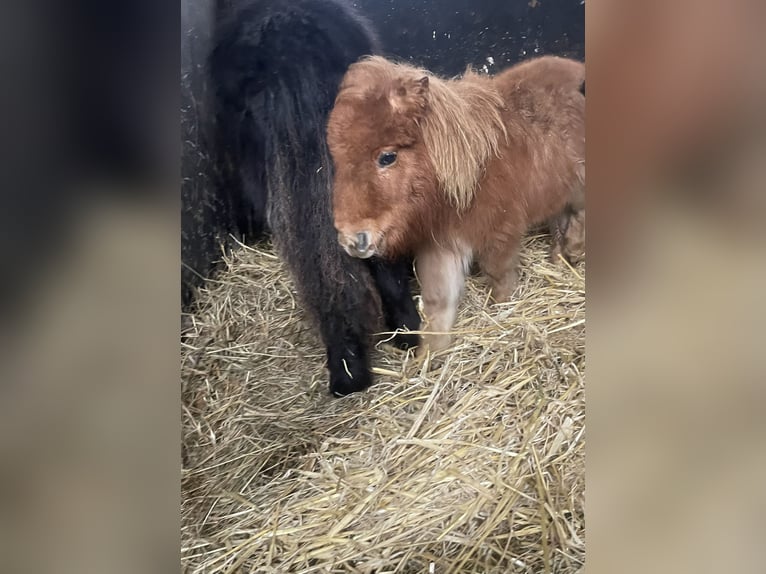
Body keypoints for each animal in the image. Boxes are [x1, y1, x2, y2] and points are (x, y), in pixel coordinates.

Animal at [328, 57, 584, 356]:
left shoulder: (501, 236)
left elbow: (499, 279)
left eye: (387, 157)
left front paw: (500, 312)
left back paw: (573, 250)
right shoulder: (442, 245)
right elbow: (438, 302)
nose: (351, 240)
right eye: (338, 159)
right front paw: (427, 356)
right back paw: (559, 257)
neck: (473, 174)